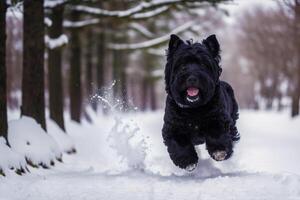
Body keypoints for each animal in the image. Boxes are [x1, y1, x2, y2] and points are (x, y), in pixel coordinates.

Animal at [162, 34, 239, 170]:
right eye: (182, 65)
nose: (192, 78)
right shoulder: (172, 127)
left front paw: (219, 151)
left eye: (203, 64)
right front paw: (187, 160)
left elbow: (217, 133)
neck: (194, 108)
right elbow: (179, 143)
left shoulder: (219, 119)